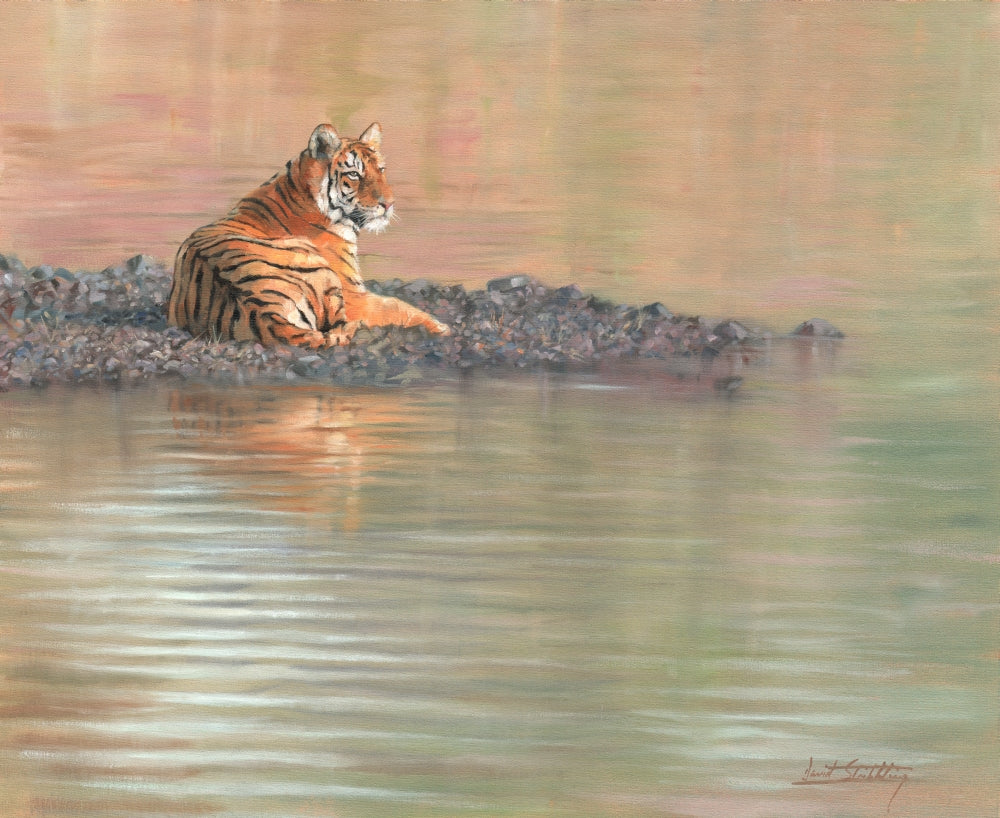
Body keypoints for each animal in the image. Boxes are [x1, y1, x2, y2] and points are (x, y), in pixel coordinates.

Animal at [167, 123, 450, 348]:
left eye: (381, 170)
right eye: (354, 174)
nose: (389, 204)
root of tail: (262, 311)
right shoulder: (354, 295)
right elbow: (399, 307)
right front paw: (441, 327)